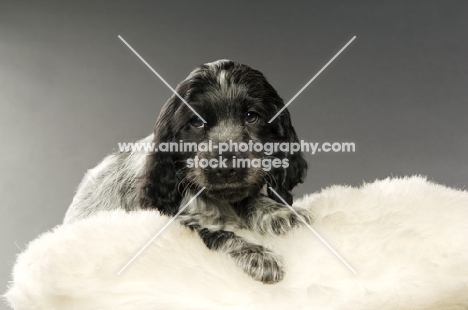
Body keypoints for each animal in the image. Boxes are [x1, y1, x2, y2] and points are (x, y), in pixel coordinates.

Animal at [65, 59, 314, 284]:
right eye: (196, 122)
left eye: (252, 117)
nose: (226, 168)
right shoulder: (171, 222)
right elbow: (215, 233)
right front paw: (257, 255)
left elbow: (249, 198)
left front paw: (281, 212)